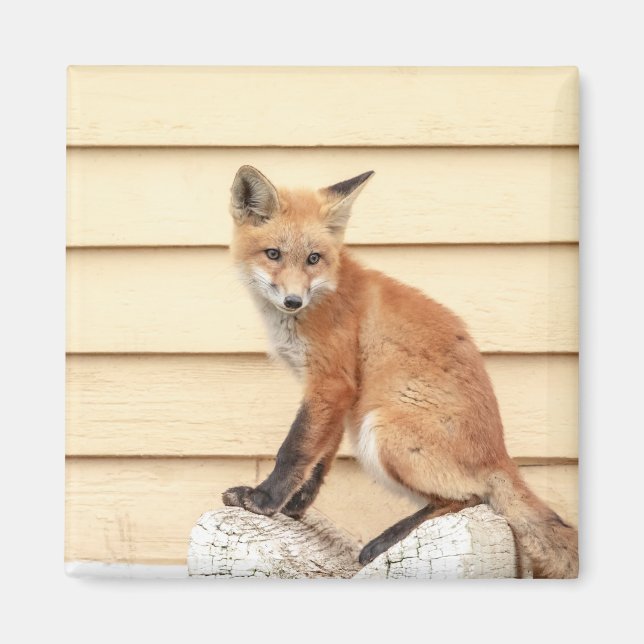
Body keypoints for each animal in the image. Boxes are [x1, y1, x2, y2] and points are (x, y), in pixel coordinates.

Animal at [222, 165, 579, 579]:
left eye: (313, 258)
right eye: (273, 254)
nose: (293, 300)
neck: (323, 295)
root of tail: (501, 455)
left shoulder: (331, 382)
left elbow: (294, 449)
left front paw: (263, 500)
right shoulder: (338, 394)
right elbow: (319, 459)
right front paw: (295, 507)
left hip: (382, 431)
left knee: (473, 498)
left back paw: (390, 536)